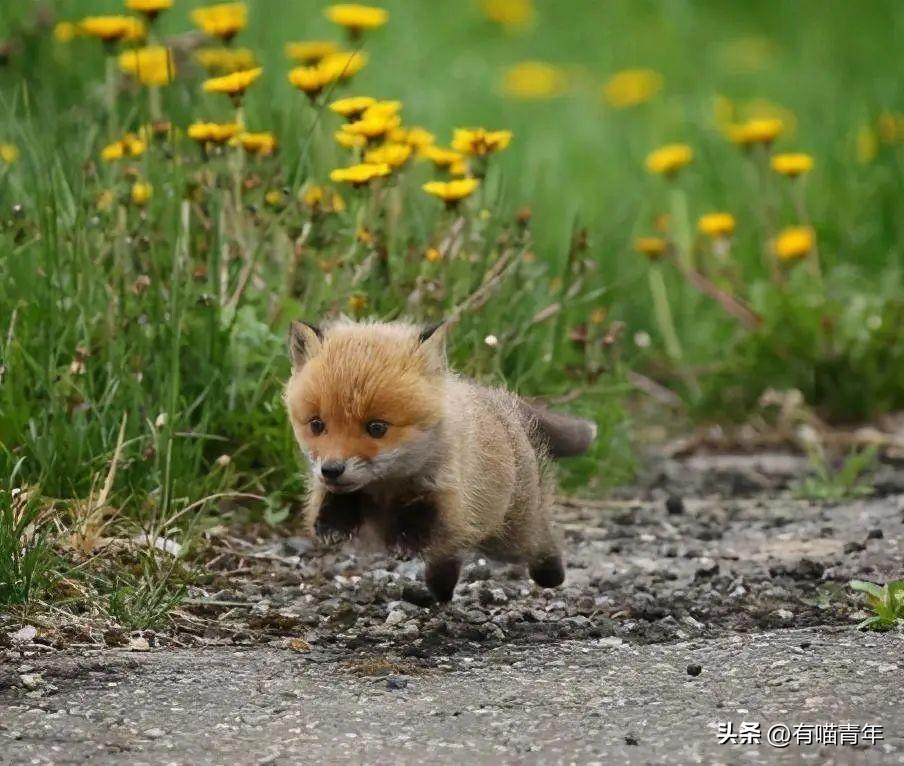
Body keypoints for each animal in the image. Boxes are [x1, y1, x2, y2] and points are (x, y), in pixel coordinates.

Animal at [282, 320, 592, 604]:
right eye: (317, 425)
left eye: (376, 428)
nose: (332, 470)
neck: (386, 488)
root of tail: (501, 402)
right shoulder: (331, 487)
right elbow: (337, 499)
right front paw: (332, 525)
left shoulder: (445, 491)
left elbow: (419, 513)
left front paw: (403, 542)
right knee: (447, 561)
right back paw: (439, 591)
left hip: (508, 534)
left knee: (538, 539)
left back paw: (552, 572)